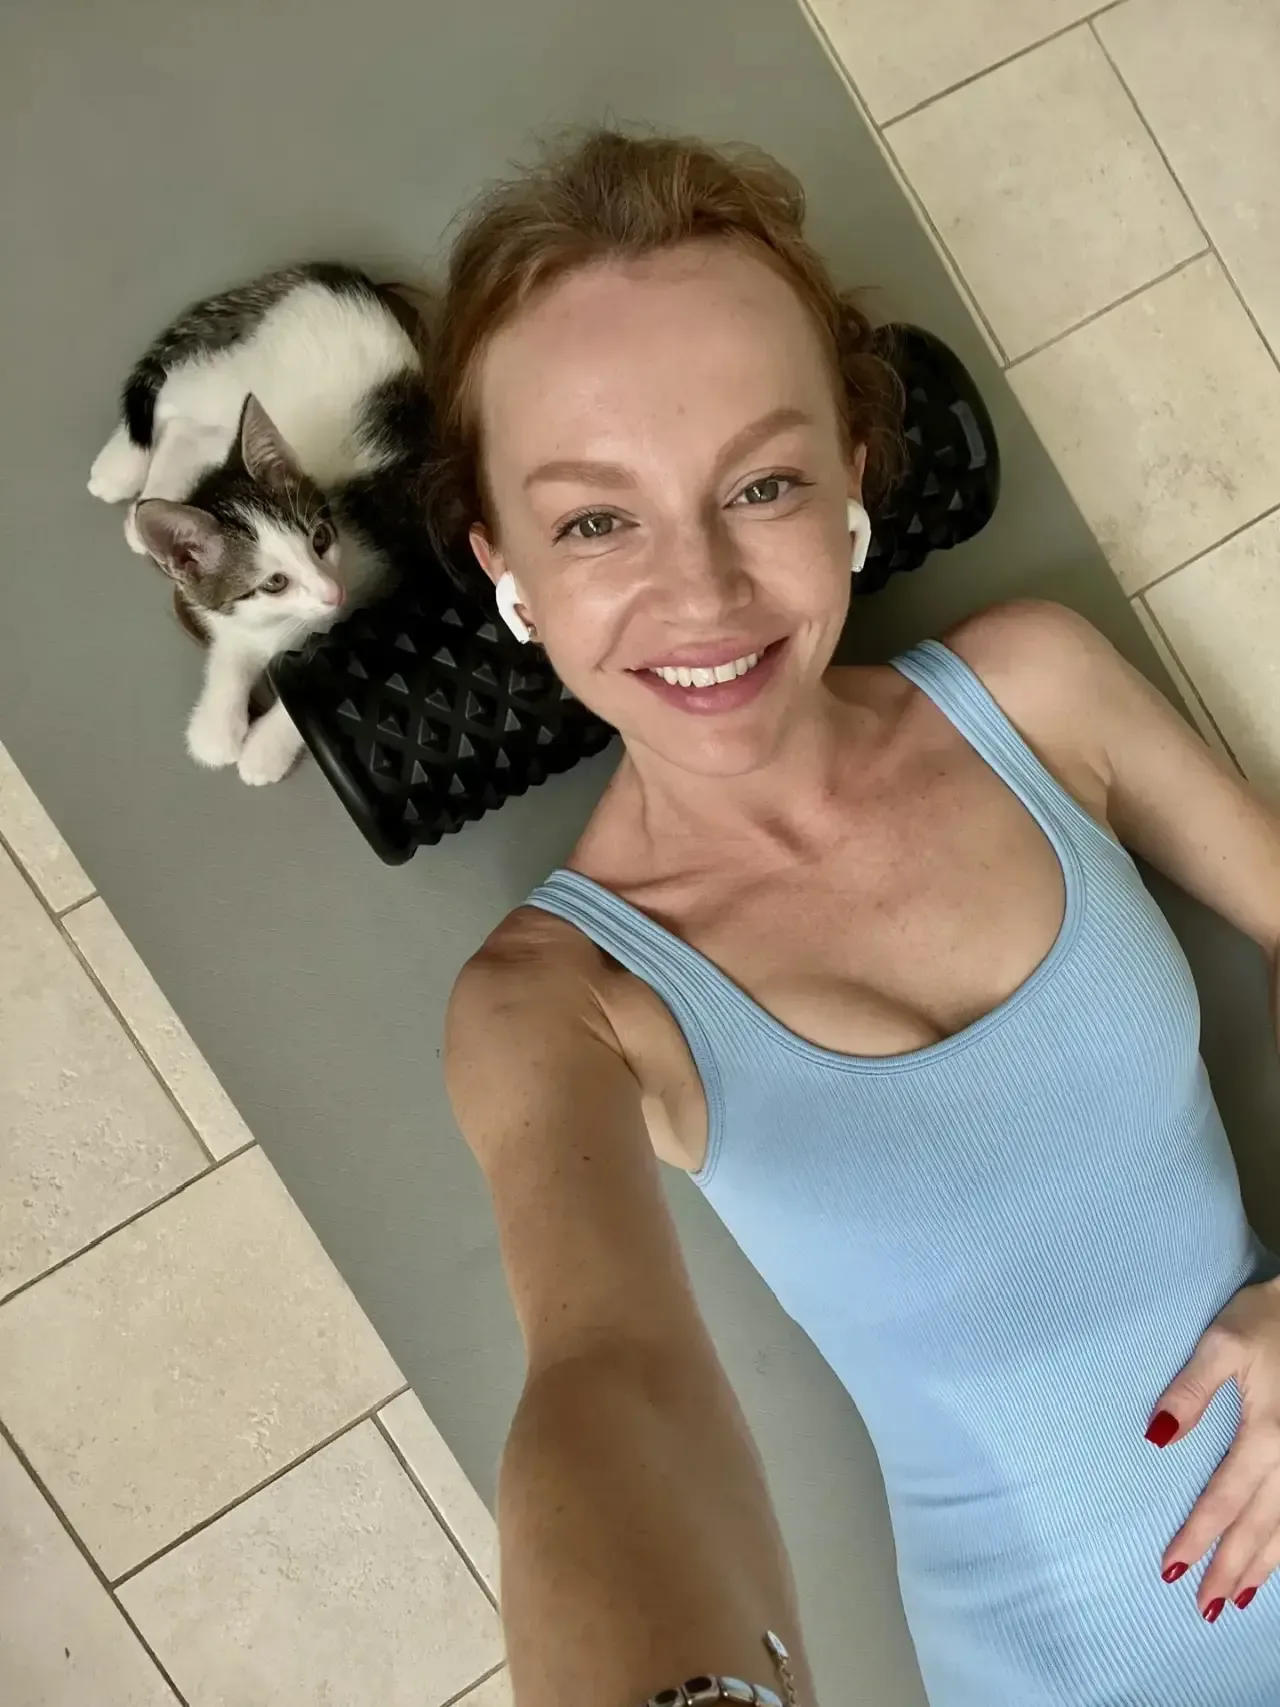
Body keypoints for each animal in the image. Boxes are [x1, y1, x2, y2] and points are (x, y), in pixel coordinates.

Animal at [88, 263, 431, 785]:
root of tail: (331, 276)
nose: (333, 594)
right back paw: (124, 476)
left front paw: (263, 748)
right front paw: (217, 725)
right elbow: (234, 643)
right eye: (274, 582)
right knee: (175, 396)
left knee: (185, 422)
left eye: (320, 540)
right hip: (242, 380)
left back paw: (141, 501)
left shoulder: (403, 591)